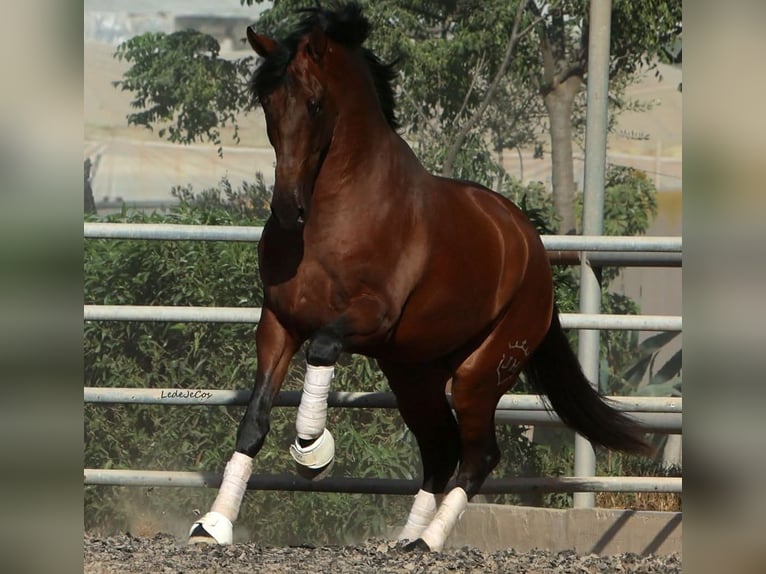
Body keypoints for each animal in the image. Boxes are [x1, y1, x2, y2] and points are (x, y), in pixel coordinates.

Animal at [189, 2, 652, 556]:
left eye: (316, 104)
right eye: (267, 104)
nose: (286, 210)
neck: (337, 217)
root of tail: (532, 248)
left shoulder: (369, 317)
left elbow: (322, 348)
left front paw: (312, 448)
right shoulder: (278, 323)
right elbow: (253, 421)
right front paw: (213, 524)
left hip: (479, 374)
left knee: (478, 455)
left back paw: (427, 541)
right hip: (414, 376)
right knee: (440, 449)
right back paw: (406, 537)